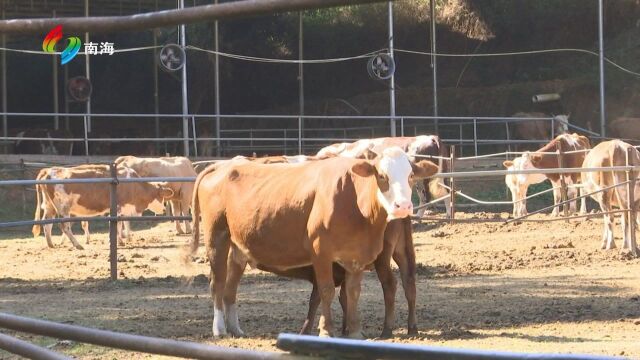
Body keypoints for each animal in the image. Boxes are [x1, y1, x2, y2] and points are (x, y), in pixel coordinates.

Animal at [32, 165, 172, 249]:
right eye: (162, 198)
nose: (163, 209)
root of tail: (48, 171)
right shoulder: (119, 207)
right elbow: (118, 225)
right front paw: (118, 241)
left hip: (50, 206)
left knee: (47, 223)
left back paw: (51, 244)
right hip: (63, 207)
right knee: (64, 226)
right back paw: (77, 245)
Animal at [191, 148, 440, 338]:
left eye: (410, 176)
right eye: (381, 175)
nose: (403, 206)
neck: (354, 201)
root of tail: (221, 166)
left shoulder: (356, 256)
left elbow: (352, 292)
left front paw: (354, 332)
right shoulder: (321, 252)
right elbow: (326, 291)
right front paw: (327, 330)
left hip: (238, 247)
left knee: (230, 288)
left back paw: (236, 329)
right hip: (217, 236)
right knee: (217, 283)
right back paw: (220, 329)